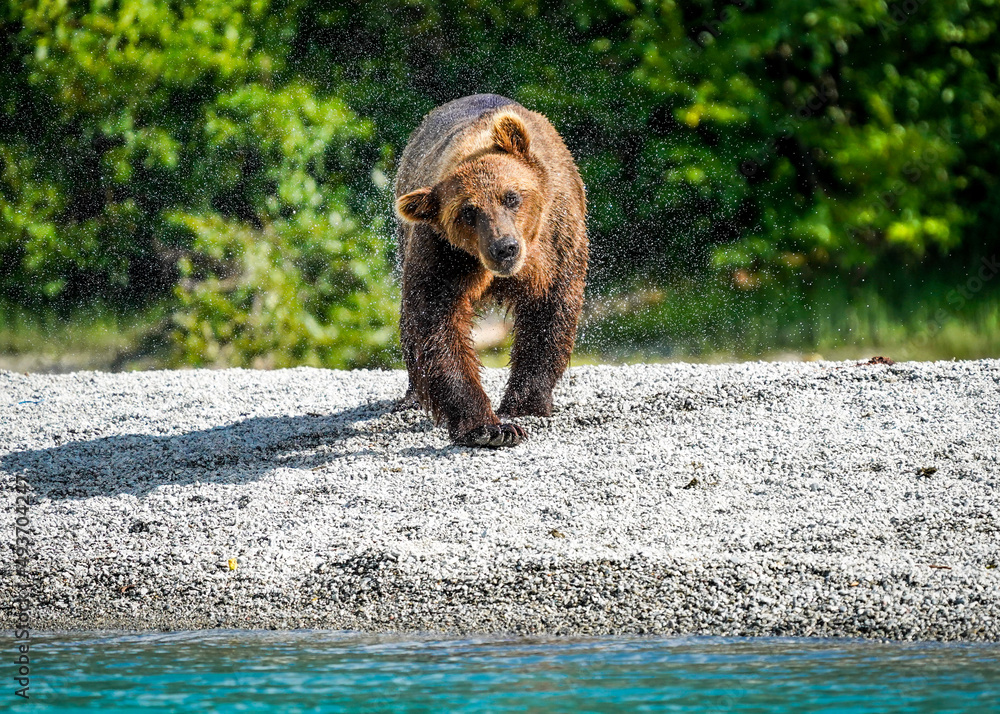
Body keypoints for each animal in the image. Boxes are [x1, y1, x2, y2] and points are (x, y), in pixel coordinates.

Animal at [394, 94, 588, 448]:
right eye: (468, 213)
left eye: (511, 196)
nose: (504, 247)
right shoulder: (444, 254)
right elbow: (438, 325)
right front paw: (490, 428)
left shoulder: (557, 242)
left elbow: (549, 314)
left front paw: (525, 404)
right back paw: (414, 396)